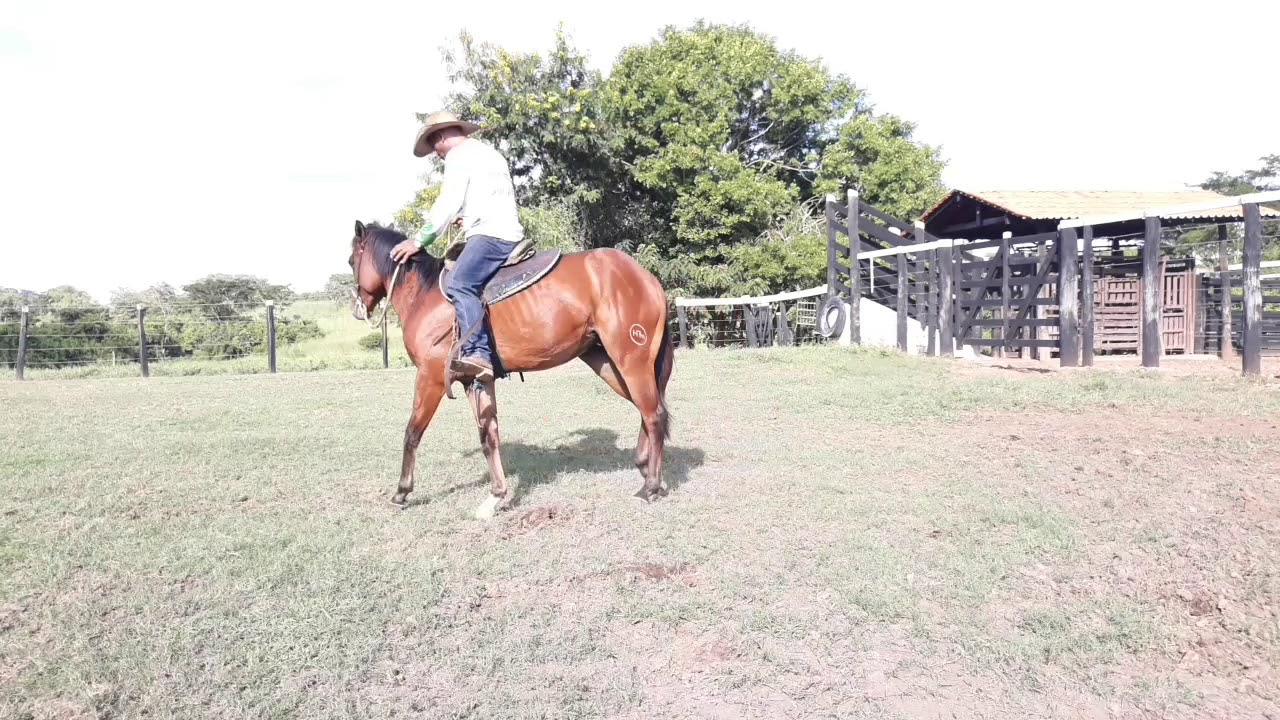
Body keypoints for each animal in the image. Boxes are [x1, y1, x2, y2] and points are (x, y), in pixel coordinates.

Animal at [347, 221, 675, 518]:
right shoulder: (475, 380)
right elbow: (488, 436)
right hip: (607, 363)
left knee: (654, 414)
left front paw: (402, 492)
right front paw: (497, 496)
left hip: (631, 360)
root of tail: (647, 278)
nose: (358, 309)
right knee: (647, 409)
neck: (425, 294)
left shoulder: (431, 377)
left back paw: (650, 487)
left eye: (352, 260)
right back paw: (646, 468)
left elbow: (412, 432)